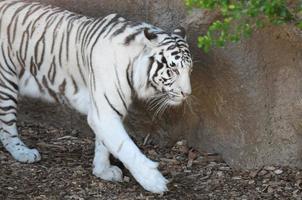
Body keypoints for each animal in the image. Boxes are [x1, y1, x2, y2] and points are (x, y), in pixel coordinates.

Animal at [0, 0, 192, 194]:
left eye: (189, 70)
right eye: (173, 70)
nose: (187, 93)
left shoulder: (105, 108)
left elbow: (104, 143)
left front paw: (102, 170)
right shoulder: (105, 113)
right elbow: (126, 147)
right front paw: (154, 181)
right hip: (6, 82)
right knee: (7, 128)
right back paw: (23, 152)